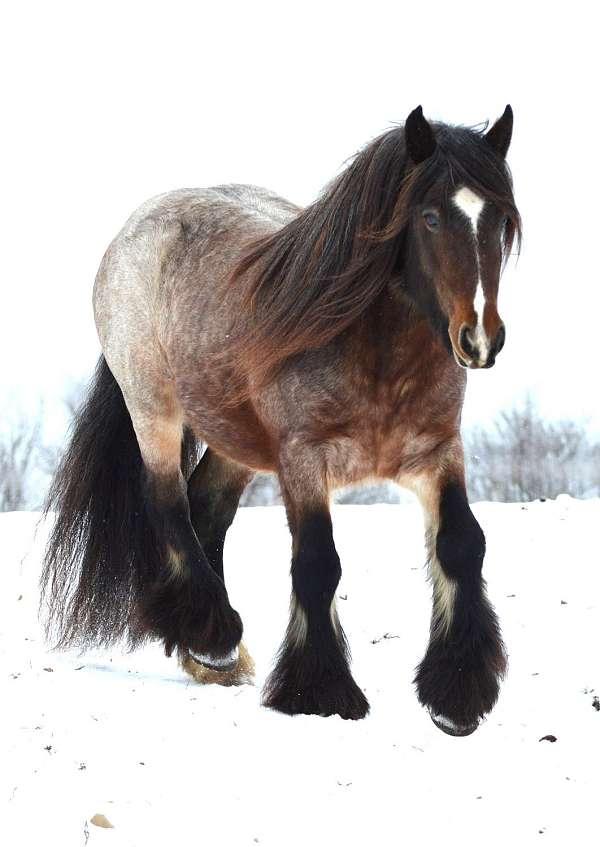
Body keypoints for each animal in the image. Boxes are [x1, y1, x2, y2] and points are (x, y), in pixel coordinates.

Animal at [41, 105, 521, 736]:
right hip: (153, 405)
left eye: (500, 219)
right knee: (167, 501)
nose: (480, 339)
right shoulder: (304, 460)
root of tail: (135, 228)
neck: (376, 354)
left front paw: (456, 695)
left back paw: (205, 652)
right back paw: (216, 638)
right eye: (432, 217)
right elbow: (317, 564)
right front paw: (321, 691)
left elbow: (463, 545)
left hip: (237, 442)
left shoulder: (437, 453)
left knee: (207, 508)